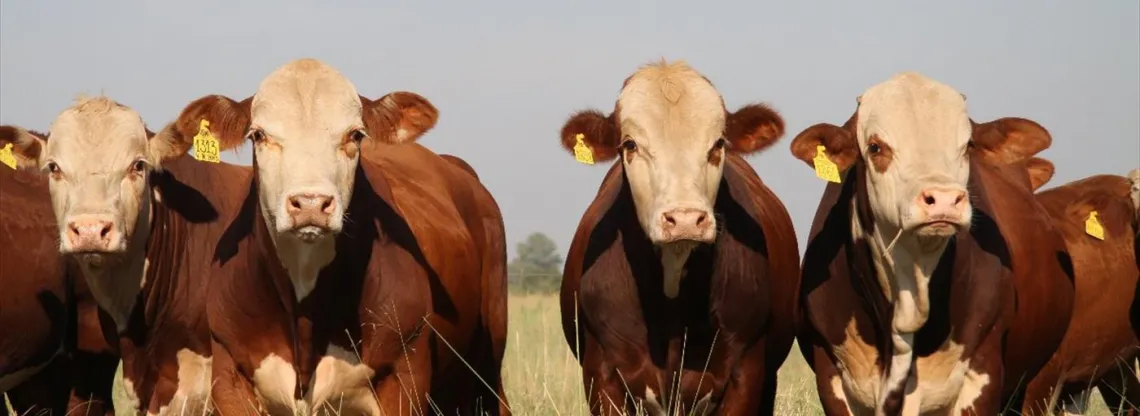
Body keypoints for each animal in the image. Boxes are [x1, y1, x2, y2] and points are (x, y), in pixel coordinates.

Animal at [156, 58, 509, 415]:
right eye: (258, 134)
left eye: (355, 134)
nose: (311, 203)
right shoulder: (229, 377)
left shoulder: (405, 375)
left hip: (487, 359)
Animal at [789, 72, 1076, 415]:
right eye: (875, 147)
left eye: (968, 145)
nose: (943, 199)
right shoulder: (832, 377)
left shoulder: (983, 374)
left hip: (1040, 381)